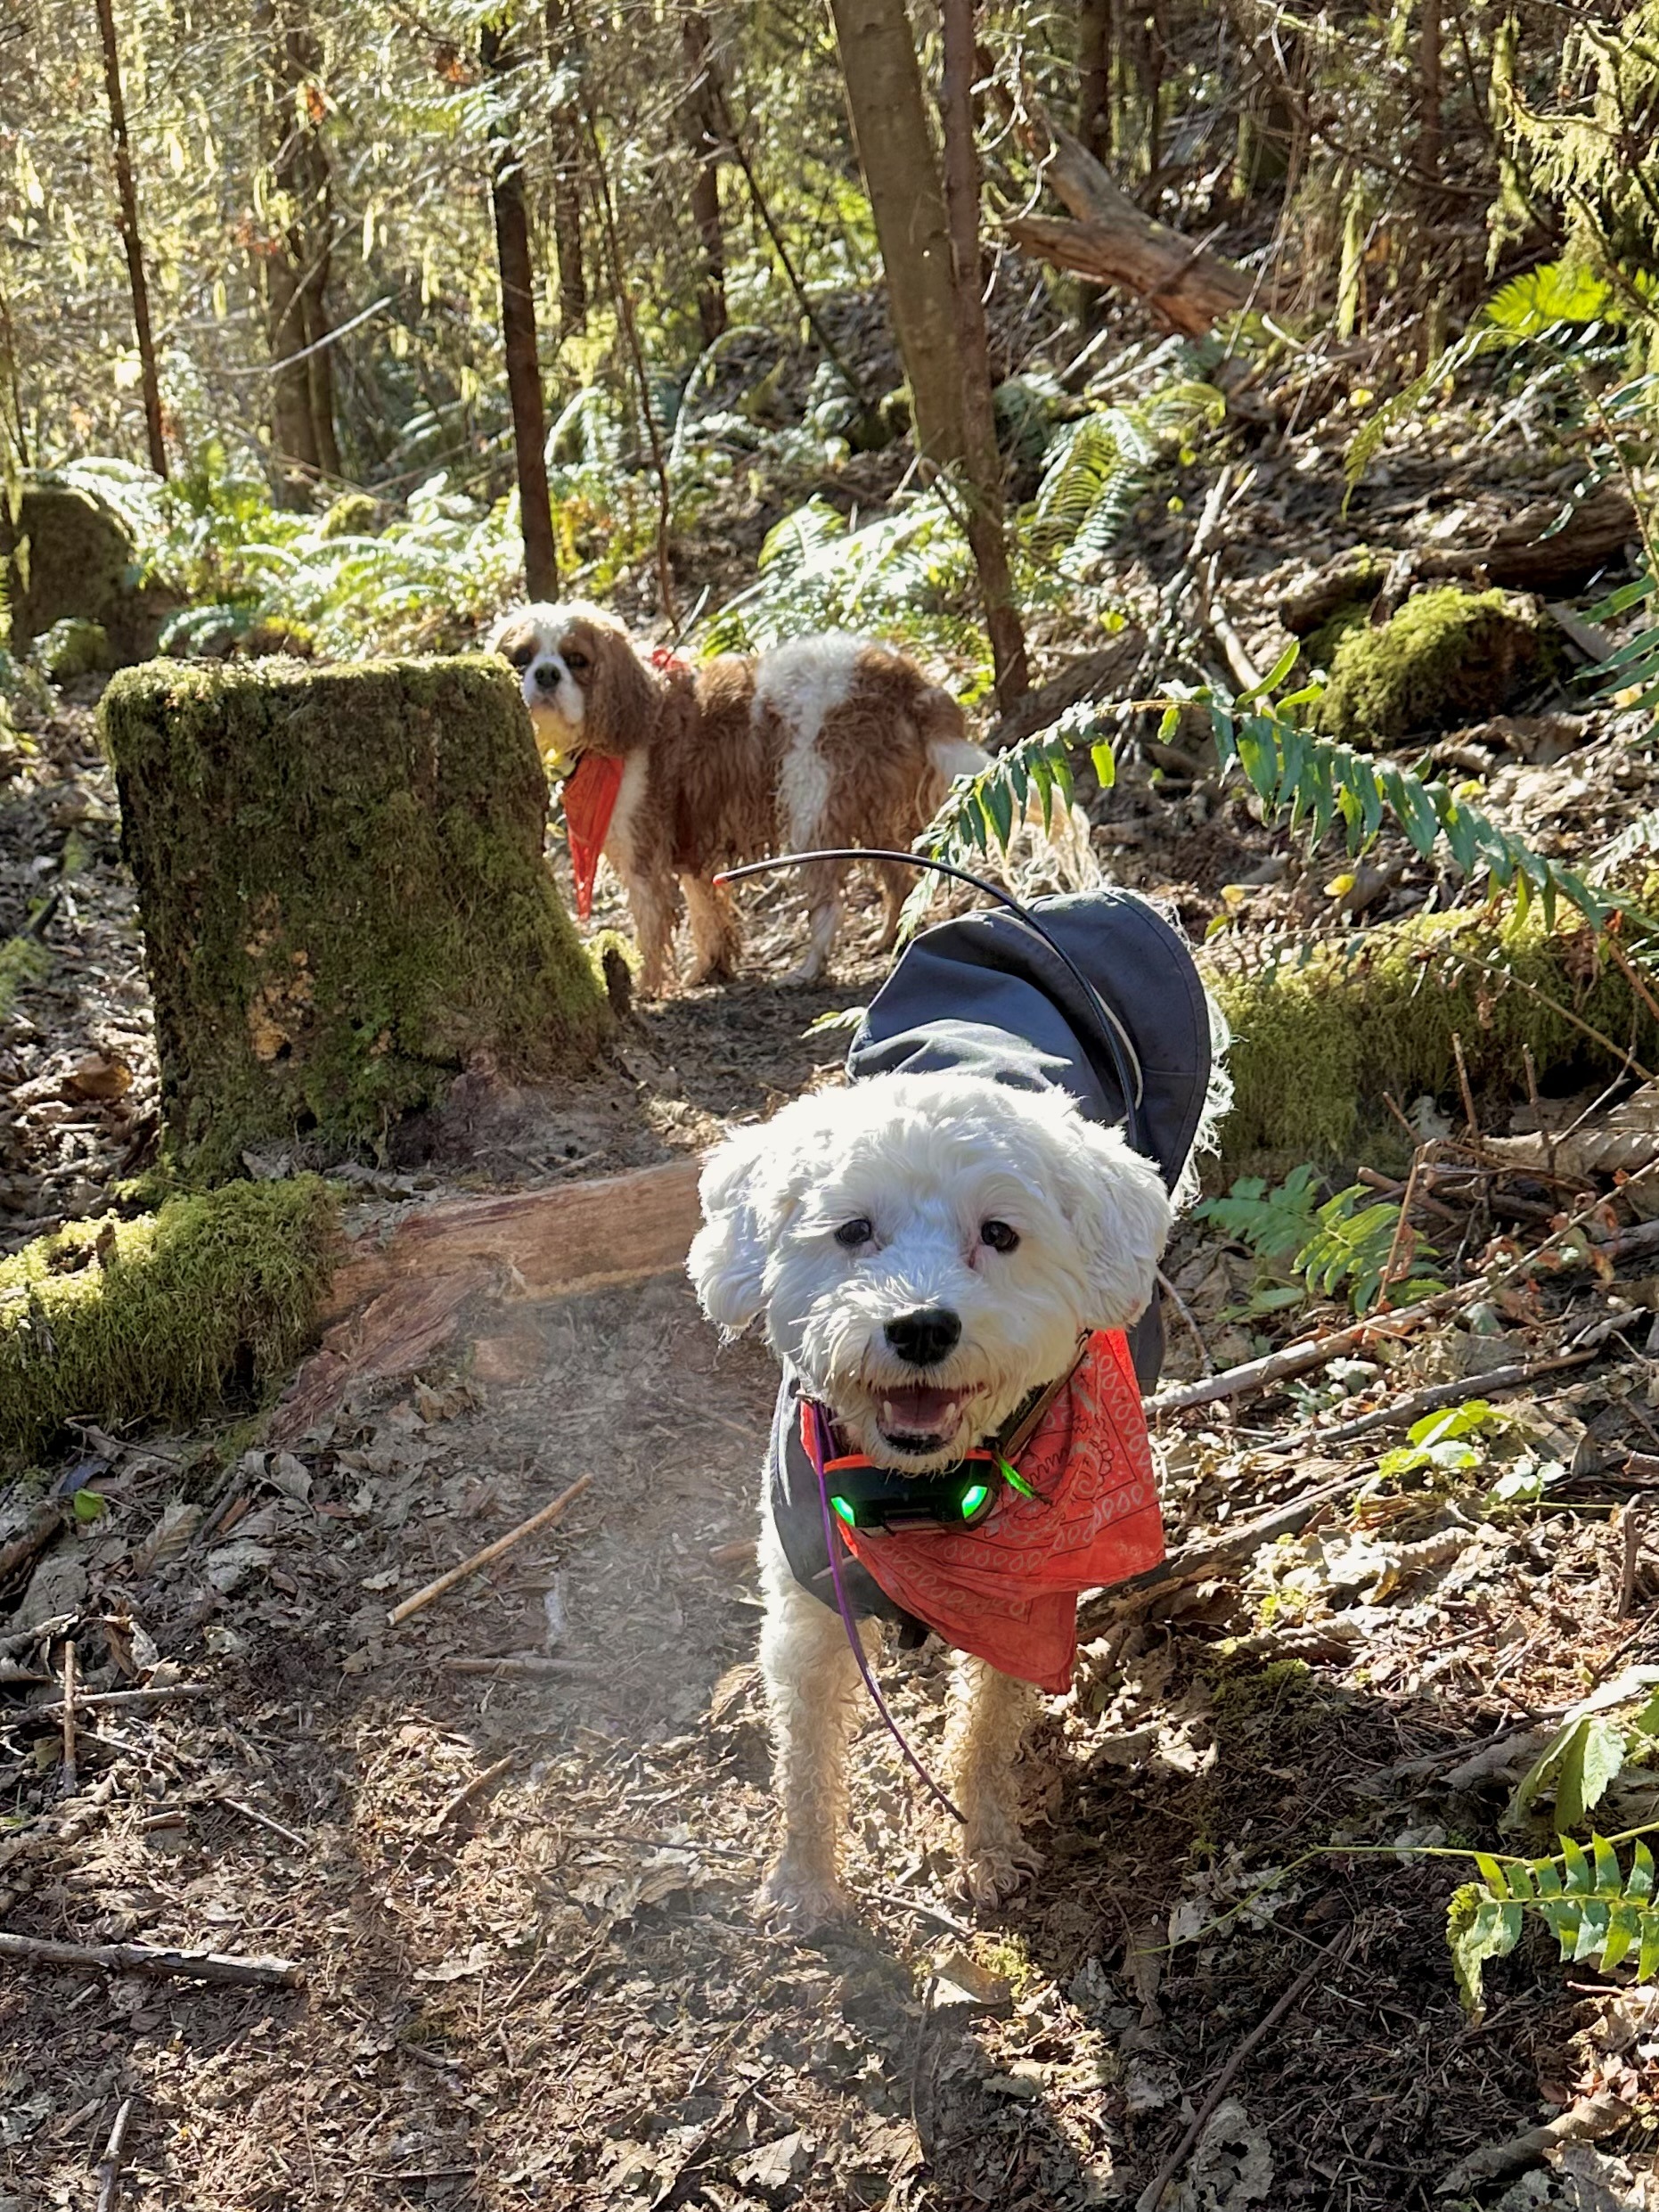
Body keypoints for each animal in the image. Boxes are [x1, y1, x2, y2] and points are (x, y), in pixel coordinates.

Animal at [491, 597, 986, 995]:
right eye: (522, 658)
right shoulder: (690, 851)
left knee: (829, 905)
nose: (546, 674)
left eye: (576, 659)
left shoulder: (644, 858)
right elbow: (707, 915)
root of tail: (906, 677)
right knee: (901, 878)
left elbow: (650, 930)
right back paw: (889, 942)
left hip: (810, 806)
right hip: (866, 811)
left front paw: (647, 992)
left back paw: (808, 970)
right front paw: (709, 970)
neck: (632, 715)